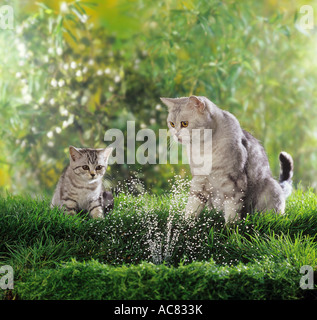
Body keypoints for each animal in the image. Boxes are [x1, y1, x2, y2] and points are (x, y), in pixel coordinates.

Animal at [160, 95, 294, 222]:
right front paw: (186, 224)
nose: (176, 135)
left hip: (270, 188)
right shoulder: (200, 180)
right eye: (172, 124)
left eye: (184, 123)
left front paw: (230, 228)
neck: (203, 148)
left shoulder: (234, 182)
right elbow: (192, 206)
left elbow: (232, 211)